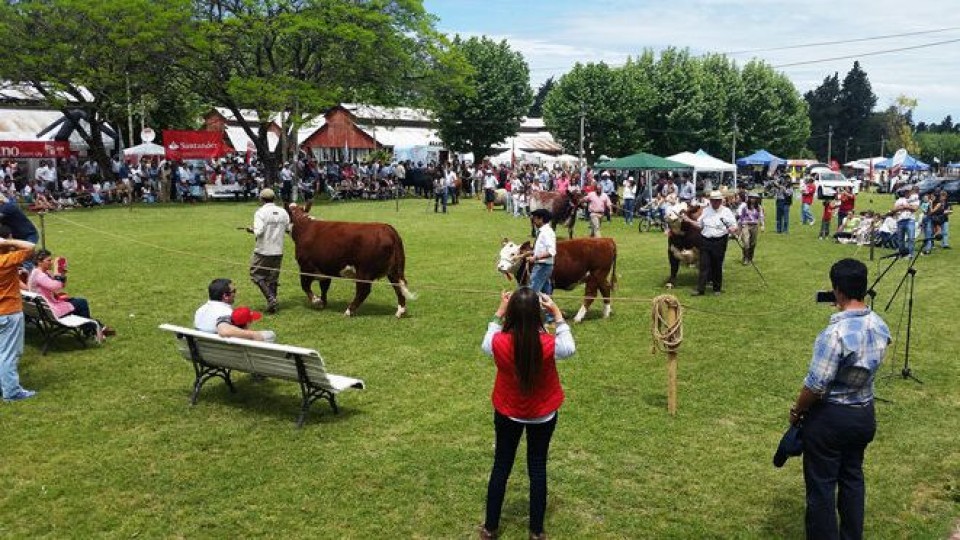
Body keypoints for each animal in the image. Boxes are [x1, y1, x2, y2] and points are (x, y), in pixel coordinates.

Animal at [288, 205, 416, 318]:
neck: (304, 227)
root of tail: (388, 229)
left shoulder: (305, 266)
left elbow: (305, 286)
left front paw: (316, 301)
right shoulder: (326, 268)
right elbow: (324, 287)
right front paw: (323, 303)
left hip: (364, 271)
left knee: (363, 290)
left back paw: (349, 311)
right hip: (394, 270)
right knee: (398, 286)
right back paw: (400, 311)